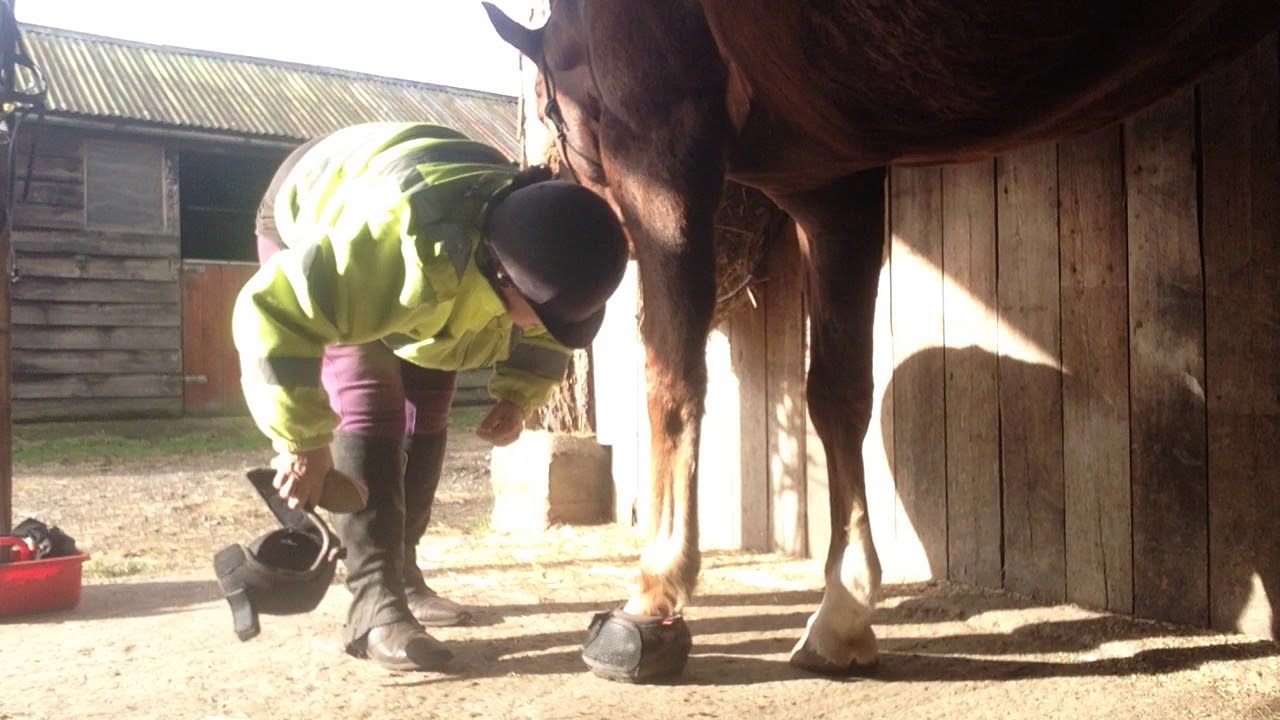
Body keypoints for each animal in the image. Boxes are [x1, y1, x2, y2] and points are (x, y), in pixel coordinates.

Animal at [484, 0, 1280, 679]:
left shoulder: (660, 144)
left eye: (549, 105)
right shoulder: (832, 188)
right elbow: (837, 395)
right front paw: (844, 613)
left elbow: (672, 380)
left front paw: (653, 599)